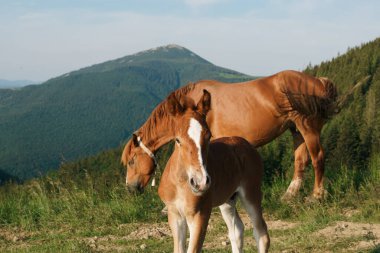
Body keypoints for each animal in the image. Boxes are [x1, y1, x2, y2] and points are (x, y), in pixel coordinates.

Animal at [123, 69, 336, 200]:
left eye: (132, 161)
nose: (130, 188)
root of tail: (318, 81)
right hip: (296, 130)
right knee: (301, 160)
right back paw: (289, 195)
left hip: (308, 128)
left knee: (318, 157)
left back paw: (317, 196)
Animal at [131, 91, 270, 253]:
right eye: (178, 140)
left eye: (209, 136)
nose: (200, 182)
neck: (180, 183)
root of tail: (248, 145)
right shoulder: (175, 214)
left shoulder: (199, 215)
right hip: (228, 200)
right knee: (237, 231)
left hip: (251, 193)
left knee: (261, 234)